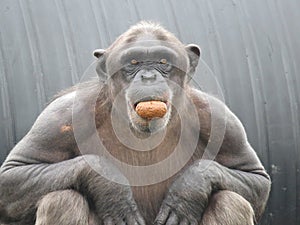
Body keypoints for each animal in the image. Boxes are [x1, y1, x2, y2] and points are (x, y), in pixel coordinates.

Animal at [0, 21, 272, 225]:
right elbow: (14, 173)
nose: (148, 76)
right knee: (62, 199)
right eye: (133, 63)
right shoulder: (61, 117)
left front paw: (189, 189)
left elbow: (255, 177)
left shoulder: (221, 119)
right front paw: (109, 185)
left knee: (230, 200)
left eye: (163, 62)